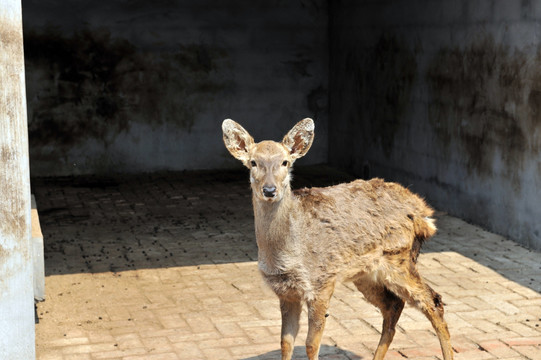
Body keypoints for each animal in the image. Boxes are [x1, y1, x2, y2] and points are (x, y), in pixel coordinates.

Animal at [221, 119, 454, 360]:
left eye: (285, 162)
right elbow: (286, 341)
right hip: (367, 274)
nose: (269, 190)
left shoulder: (322, 280)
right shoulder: (286, 292)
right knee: (393, 304)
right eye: (253, 162)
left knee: (433, 300)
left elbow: (311, 343)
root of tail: (423, 213)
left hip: (398, 257)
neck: (287, 254)